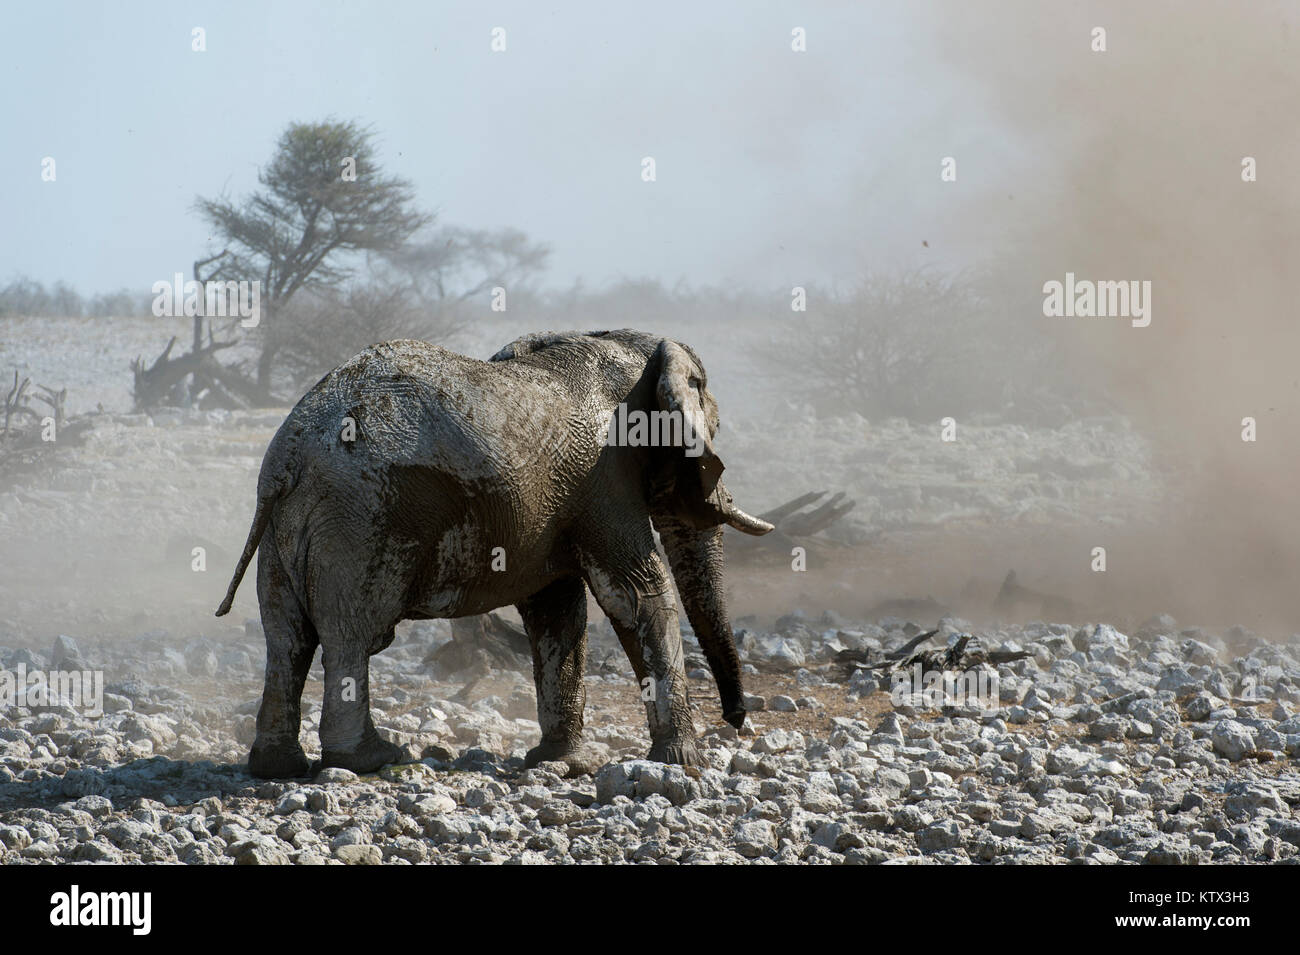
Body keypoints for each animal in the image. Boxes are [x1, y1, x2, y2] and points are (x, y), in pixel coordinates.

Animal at [215, 328, 769, 779]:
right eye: (713, 432)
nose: (737, 719)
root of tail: (288, 454)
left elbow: (557, 611)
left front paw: (563, 763)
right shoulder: (605, 480)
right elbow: (636, 596)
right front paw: (683, 764)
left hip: (287, 530)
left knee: (286, 639)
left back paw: (277, 768)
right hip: (361, 518)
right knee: (348, 635)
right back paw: (371, 759)